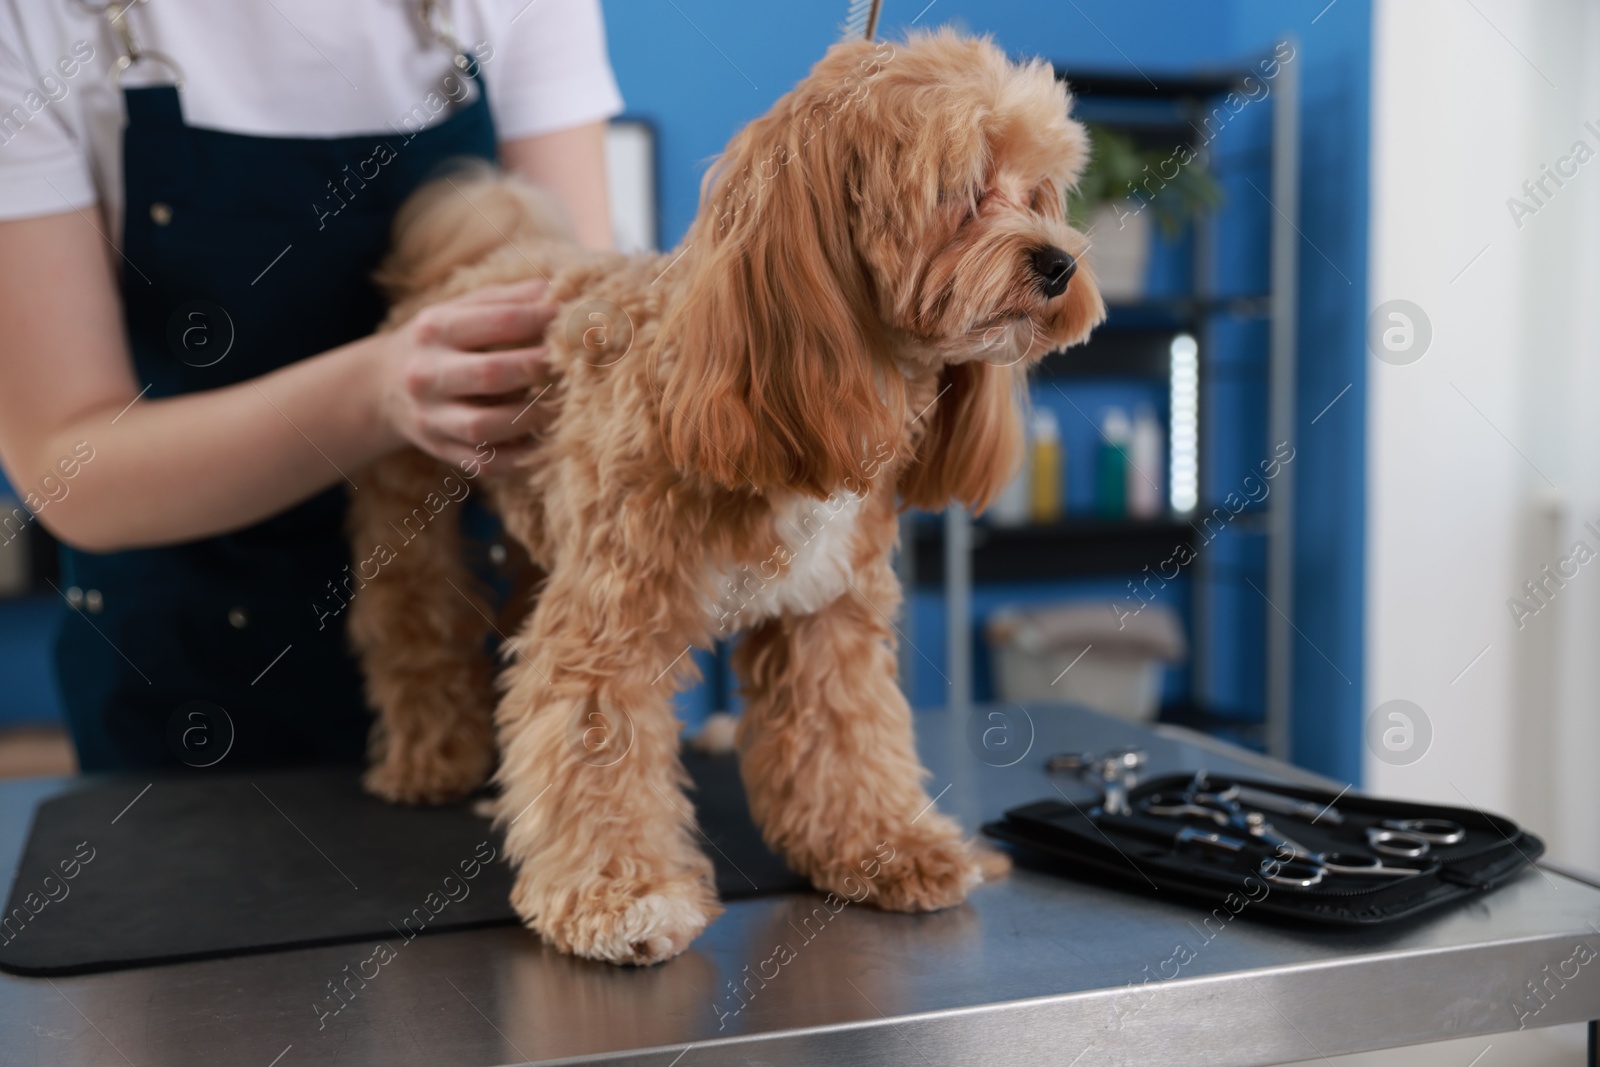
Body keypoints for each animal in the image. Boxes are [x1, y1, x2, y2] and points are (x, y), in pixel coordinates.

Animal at [348, 31, 1100, 966]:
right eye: (961, 191)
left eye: (1039, 192)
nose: (1061, 262)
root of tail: (490, 253)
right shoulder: (610, 626)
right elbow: (592, 742)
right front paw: (621, 895)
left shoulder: (825, 616)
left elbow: (845, 735)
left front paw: (884, 846)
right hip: (408, 500)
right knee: (411, 627)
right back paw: (430, 759)